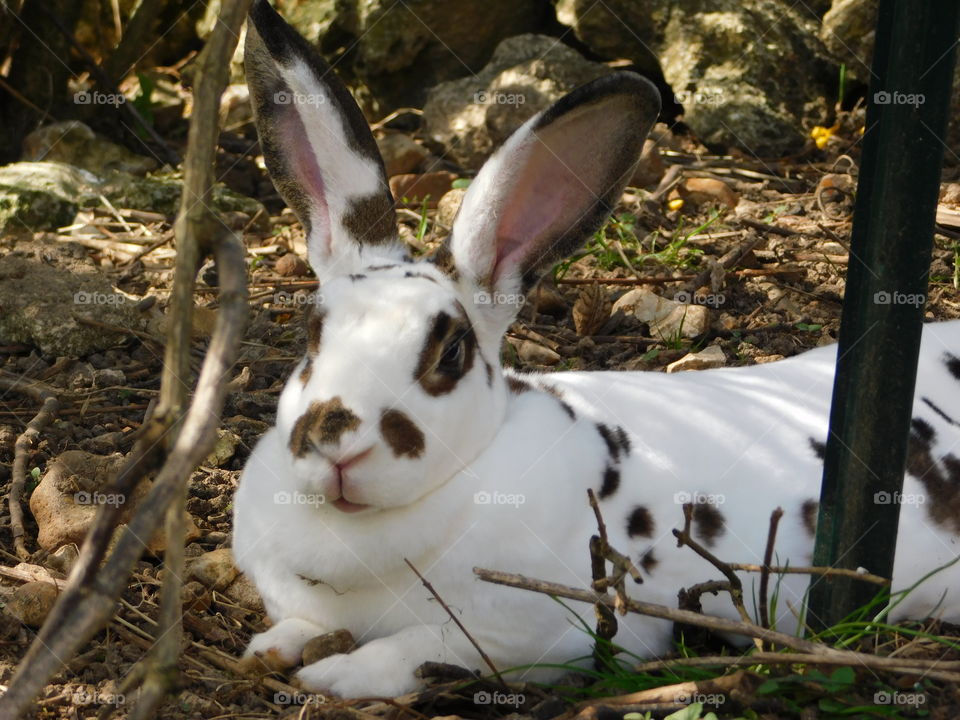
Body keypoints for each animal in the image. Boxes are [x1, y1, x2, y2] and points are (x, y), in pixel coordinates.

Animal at [234, 0, 960, 699]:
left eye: (451, 354)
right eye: (310, 335)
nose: (335, 441)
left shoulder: (534, 633)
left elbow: (411, 654)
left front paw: (333, 677)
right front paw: (271, 648)